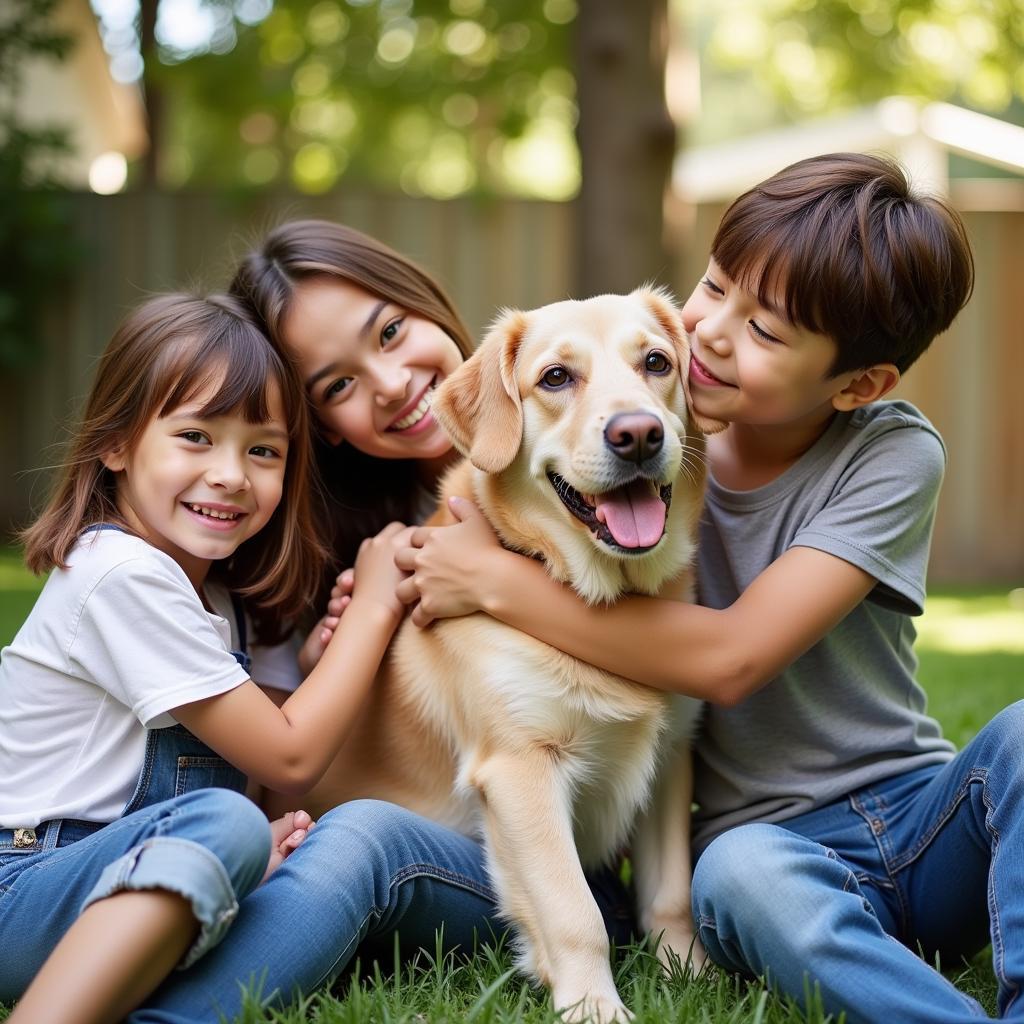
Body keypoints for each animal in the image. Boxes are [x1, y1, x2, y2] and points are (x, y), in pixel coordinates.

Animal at [288, 290, 720, 1024]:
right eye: (556, 378)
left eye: (657, 363)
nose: (638, 434)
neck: (589, 597)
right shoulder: (521, 769)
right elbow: (575, 912)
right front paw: (595, 1007)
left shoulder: (669, 757)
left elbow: (671, 891)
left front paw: (688, 978)